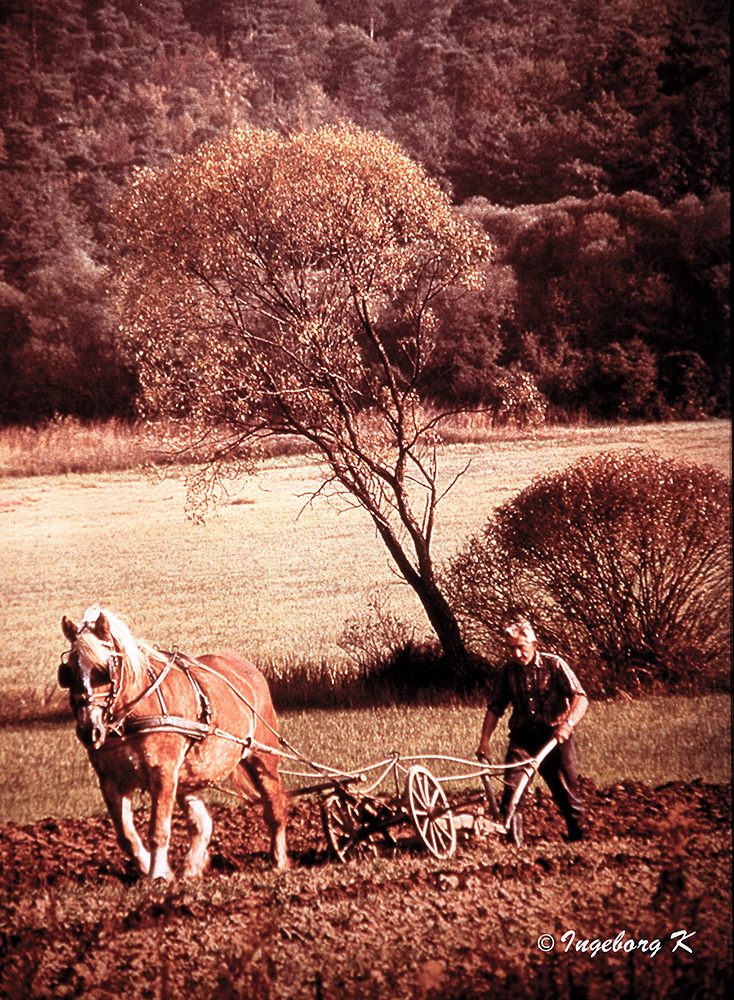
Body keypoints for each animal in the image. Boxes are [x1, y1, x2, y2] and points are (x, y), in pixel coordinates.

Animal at [59, 604, 288, 880]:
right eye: (68, 672)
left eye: (103, 670)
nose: (88, 731)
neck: (133, 712)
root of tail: (248, 669)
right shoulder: (110, 780)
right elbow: (126, 836)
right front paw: (158, 871)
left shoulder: (163, 772)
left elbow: (158, 830)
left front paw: (157, 875)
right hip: (190, 777)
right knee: (202, 824)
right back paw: (190, 870)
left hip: (262, 758)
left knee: (275, 807)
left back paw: (279, 861)